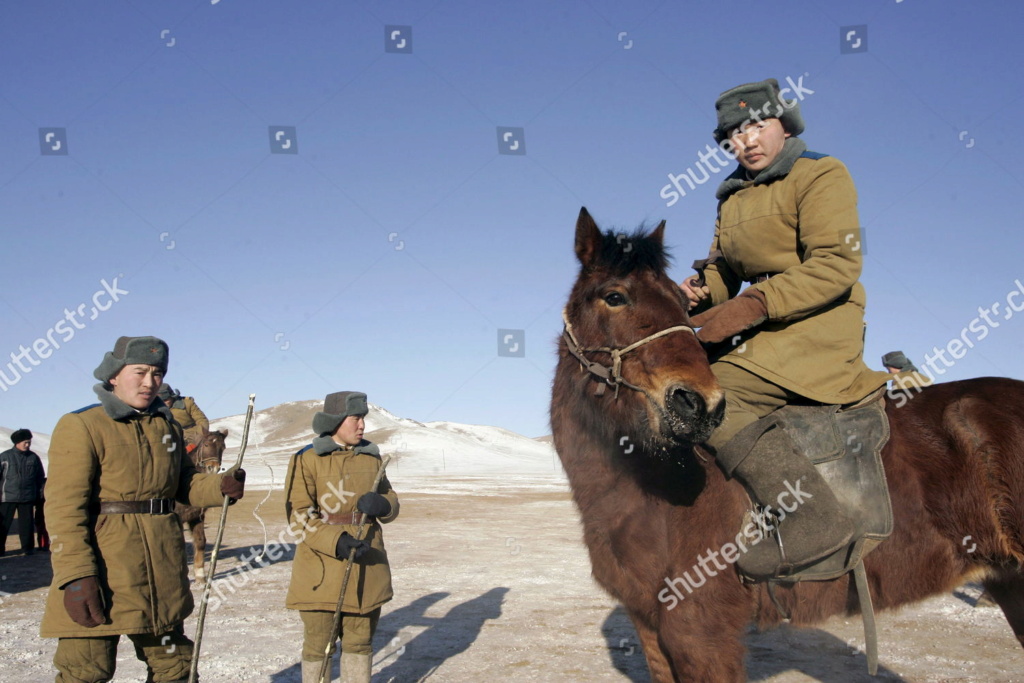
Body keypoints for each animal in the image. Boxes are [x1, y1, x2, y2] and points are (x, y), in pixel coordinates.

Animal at [176, 428, 228, 581]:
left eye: (223, 447)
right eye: (206, 444)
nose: (213, 468)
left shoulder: (196, 516)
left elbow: (200, 541)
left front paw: (200, 575)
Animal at [552, 209, 1024, 683]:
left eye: (683, 307)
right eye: (614, 296)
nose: (700, 404)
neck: (651, 487)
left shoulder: (700, 634)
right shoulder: (652, 629)